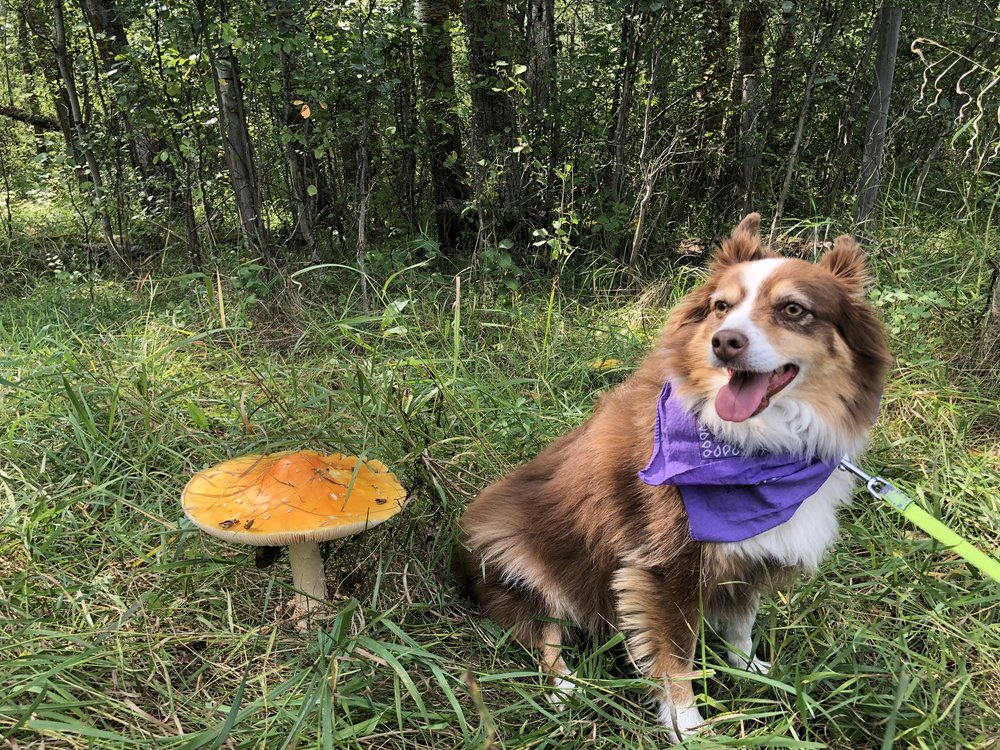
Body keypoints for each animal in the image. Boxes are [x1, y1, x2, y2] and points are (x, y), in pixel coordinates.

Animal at [458, 214, 892, 744]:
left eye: (793, 309)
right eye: (722, 306)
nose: (724, 340)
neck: (753, 447)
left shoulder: (752, 556)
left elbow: (742, 623)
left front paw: (750, 671)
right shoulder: (667, 569)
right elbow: (675, 657)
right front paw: (689, 726)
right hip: (520, 558)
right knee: (545, 635)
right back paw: (568, 690)